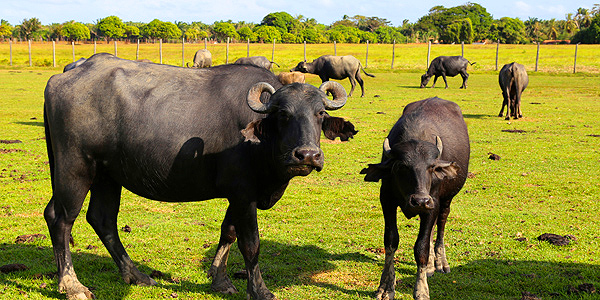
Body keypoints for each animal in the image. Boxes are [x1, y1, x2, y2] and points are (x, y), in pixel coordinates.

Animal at [45, 52, 360, 298]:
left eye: (320, 113)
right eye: (283, 115)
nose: (307, 155)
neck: (262, 143)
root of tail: (69, 73)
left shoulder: (238, 194)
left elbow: (228, 233)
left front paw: (220, 280)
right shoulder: (244, 193)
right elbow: (251, 244)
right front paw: (259, 290)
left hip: (107, 175)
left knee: (102, 219)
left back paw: (136, 275)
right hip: (74, 168)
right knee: (61, 218)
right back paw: (72, 285)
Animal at [360, 97, 468, 300]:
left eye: (432, 167)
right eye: (402, 166)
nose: (420, 201)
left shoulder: (433, 203)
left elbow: (421, 247)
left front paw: (421, 289)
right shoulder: (386, 200)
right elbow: (391, 241)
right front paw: (386, 286)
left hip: (445, 200)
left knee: (440, 225)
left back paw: (440, 262)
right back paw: (432, 266)